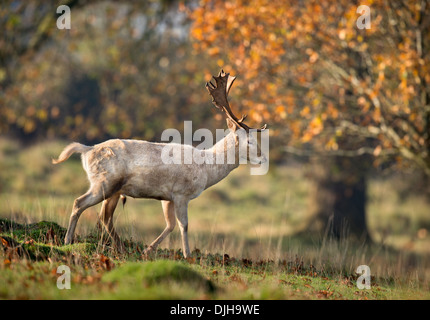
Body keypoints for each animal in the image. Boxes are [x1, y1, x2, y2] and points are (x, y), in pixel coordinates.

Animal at [52, 70, 268, 258]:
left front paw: (148, 250)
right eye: (250, 141)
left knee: (104, 217)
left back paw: (121, 247)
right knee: (79, 202)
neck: (206, 170)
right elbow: (184, 225)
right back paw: (68, 241)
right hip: (104, 182)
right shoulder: (181, 193)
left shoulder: (167, 197)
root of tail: (86, 150)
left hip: (113, 189)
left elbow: (170, 225)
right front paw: (187, 255)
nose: (263, 158)